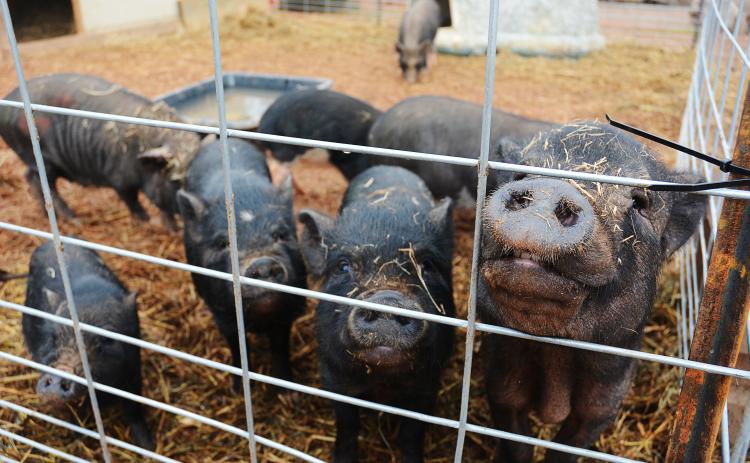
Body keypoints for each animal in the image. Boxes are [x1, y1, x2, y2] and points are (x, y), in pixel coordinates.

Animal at [0, 73, 202, 230]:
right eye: (176, 181)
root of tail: (6, 103)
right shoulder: (118, 179)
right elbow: (132, 200)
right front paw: (147, 222)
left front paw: (172, 228)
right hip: (36, 154)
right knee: (43, 183)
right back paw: (75, 221)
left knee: (29, 177)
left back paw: (47, 215)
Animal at [23, 241, 153, 449]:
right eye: (54, 337)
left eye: (107, 340)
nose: (61, 372)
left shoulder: (134, 367)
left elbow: (134, 407)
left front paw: (148, 446)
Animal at [177, 137, 306, 387]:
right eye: (223, 243)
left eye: (280, 235)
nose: (262, 263)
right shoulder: (221, 312)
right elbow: (236, 346)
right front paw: (238, 388)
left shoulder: (287, 310)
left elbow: (280, 346)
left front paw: (285, 387)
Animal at [298, 165, 455, 463]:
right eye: (343, 266)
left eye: (426, 266)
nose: (388, 299)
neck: (381, 384)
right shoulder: (332, 375)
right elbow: (347, 424)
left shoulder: (428, 384)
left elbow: (412, 434)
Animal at [478, 122, 706, 462]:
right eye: (520, 174)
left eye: (640, 202)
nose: (552, 187)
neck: (555, 353)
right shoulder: (500, 380)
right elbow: (516, 442)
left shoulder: (606, 399)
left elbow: (567, 447)